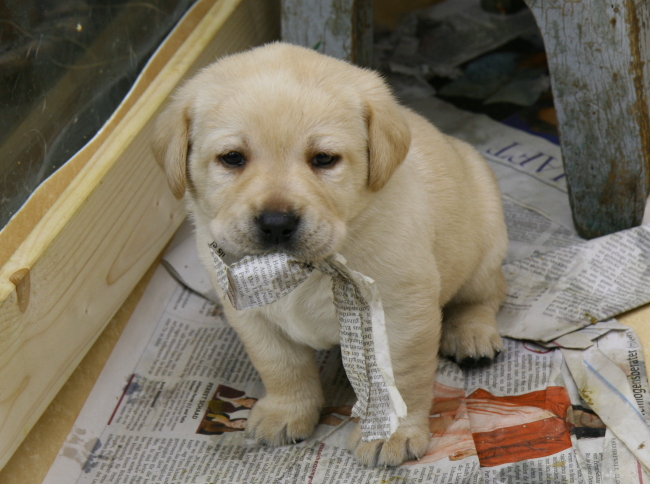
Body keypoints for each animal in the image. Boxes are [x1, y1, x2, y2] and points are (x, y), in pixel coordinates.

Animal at [153, 43, 506, 466]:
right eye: (232, 157)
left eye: (323, 159)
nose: (276, 223)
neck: (302, 267)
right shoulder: (247, 311)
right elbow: (280, 365)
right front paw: (286, 411)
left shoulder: (402, 311)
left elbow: (401, 378)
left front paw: (392, 433)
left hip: (487, 237)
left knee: (487, 294)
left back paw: (471, 334)